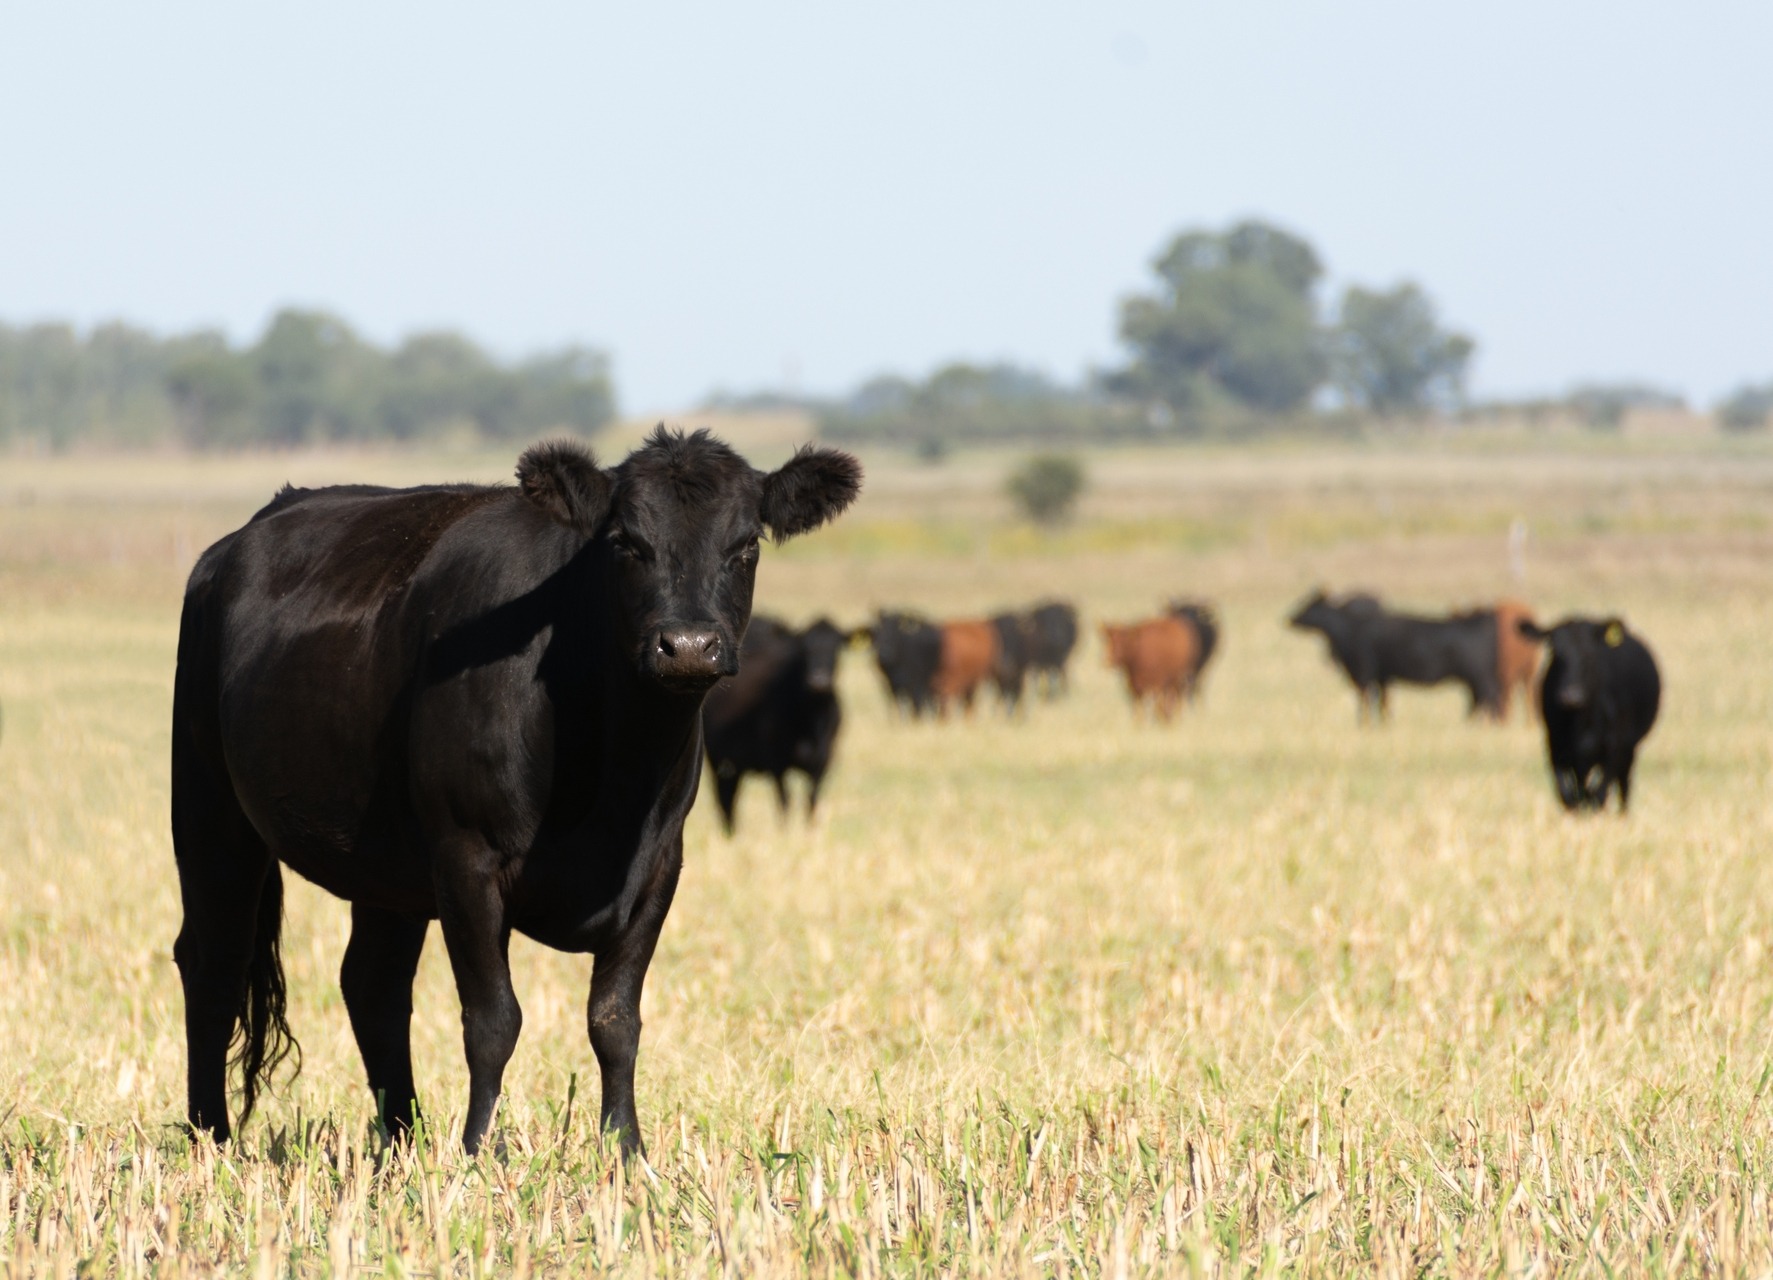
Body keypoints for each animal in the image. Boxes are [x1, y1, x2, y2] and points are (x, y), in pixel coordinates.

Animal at [702, 616, 846, 833]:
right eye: (803, 648)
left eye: (836, 648)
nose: (819, 680)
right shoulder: (777, 761)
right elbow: (785, 800)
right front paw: (785, 832)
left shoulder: (822, 761)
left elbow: (811, 800)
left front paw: (810, 831)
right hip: (720, 763)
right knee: (725, 801)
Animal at [1288, 590, 1501, 722]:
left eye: (1309, 605)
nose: (1289, 618)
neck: (1349, 631)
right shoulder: (1383, 677)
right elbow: (1383, 703)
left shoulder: (1365, 673)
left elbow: (1367, 701)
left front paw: (1364, 724)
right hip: (1472, 679)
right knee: (1478, 700)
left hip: (1478, 676)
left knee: (1487, 698)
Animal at [1519, 617, 1660, 811]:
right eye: (1555, 652)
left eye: (1590, 653)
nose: (1572, 696)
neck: (1580, 726)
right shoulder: (1555, 748)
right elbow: (1567, 796)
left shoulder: (1613, 749)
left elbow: (1599, 795)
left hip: (1629, 749)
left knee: (1623, 787)